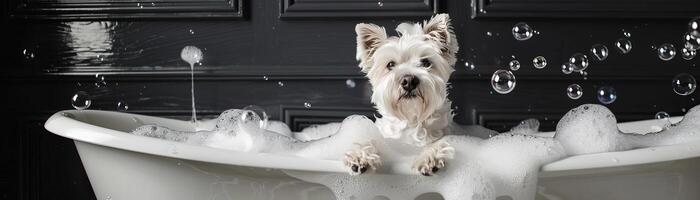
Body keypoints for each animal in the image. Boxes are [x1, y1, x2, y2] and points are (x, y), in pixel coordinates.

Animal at [344, 14, 460, 176]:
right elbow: (373, 141)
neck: (411, 119)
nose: (409, 81)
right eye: (390, 64)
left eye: (426, 62)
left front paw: (430, 156)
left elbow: (438, 142)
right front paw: (361, 154)